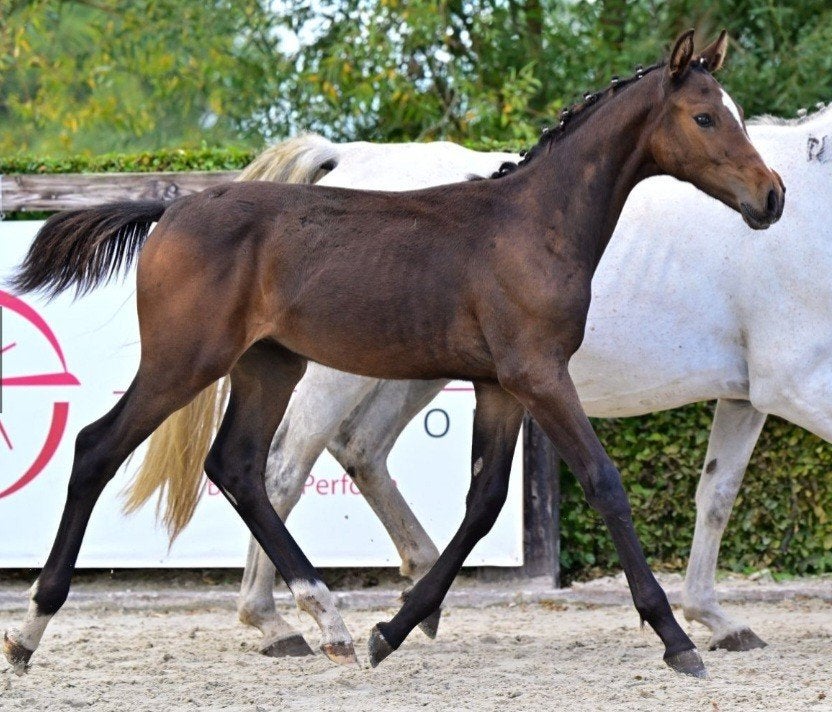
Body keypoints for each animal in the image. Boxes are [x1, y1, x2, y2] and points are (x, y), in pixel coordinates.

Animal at [4, 30, 783, 679]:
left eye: (737, 115)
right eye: (706, 118)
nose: (772, 197)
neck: (533, 225)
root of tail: (170, 210)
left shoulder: (501, 385)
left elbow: (484, 504)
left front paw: (393, 629)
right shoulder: (540, 375)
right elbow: (603, 481)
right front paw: (676, 639)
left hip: (270, 365)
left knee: (238, 467)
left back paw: (330, 621)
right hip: (185, 361)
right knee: (98, 448)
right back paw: (31, 631)